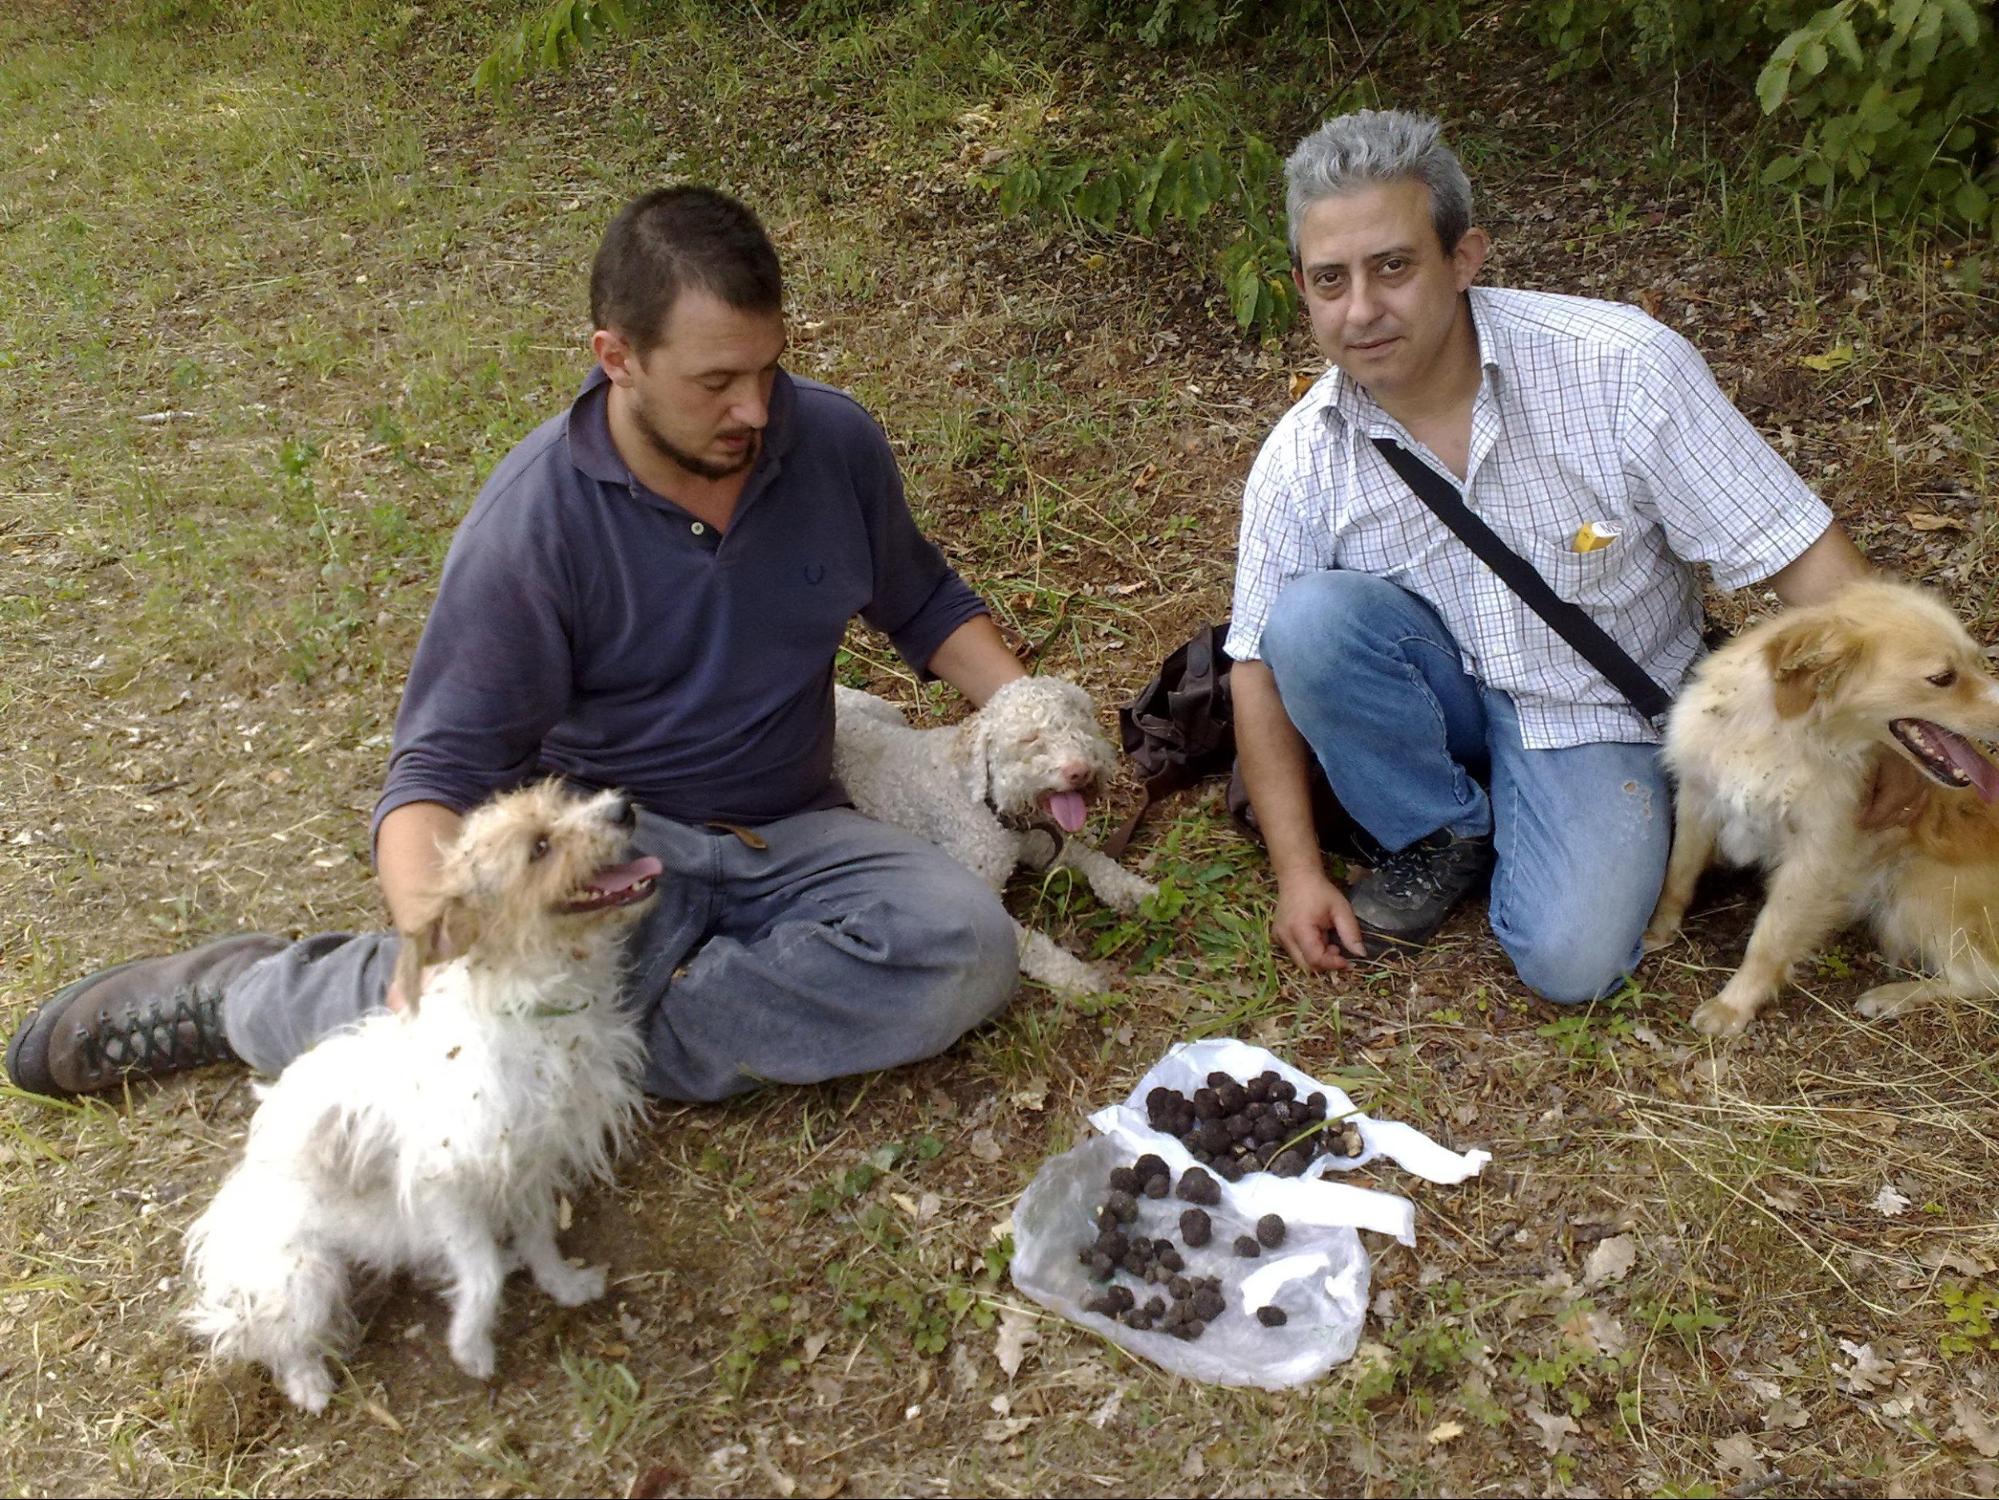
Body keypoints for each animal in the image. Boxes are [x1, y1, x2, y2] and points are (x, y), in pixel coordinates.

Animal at [183, 780, 659, 1416]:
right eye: (539, 847)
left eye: (561, 801)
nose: (623, 808)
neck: (529, 1011)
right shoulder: (446, 1188)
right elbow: (480, 1275)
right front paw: (471, 1347)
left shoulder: (528, 1165)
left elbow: (538, 1236)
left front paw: (562, 1283)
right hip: (301, 1275)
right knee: (279, 1339)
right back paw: (308, 1382)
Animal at [831, 676, 1159, 992]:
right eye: (1029, 739)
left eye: (1079, 724)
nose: (1079, 771)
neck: (992, 807)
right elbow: (1034, 948)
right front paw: (1076, 978)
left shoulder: (1043, 844)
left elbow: (1095, 861)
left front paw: (1137, 892)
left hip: (887, 711)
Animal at [1639, 580, 1999, 1040]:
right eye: (1942, 678)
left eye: (1975, 661)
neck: (1781, 736)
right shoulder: (1698, 799)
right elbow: (1677, 875)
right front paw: (1657, 930)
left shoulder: (1815, 854)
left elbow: (1771, 936)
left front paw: (1732, 1005)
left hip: (1918, 892)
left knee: (1979, 977)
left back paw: (1891, 996)